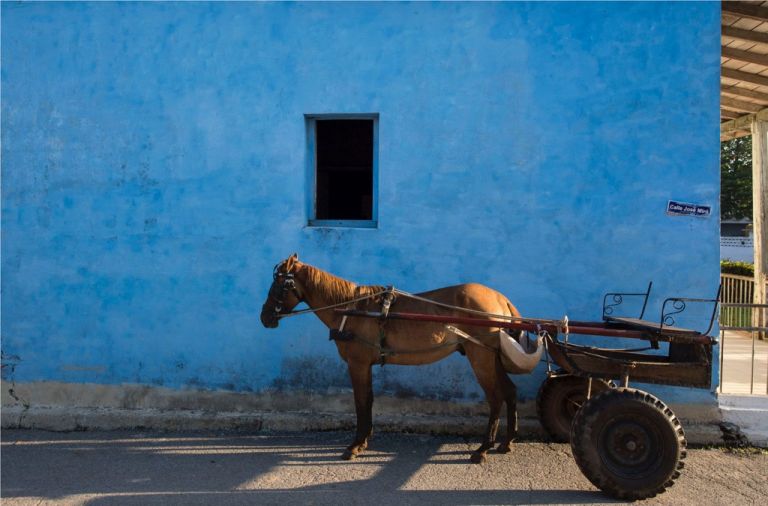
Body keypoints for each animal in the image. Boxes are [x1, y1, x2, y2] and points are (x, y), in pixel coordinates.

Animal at [260, 253, 520, 462]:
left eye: (280, 284)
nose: (265, 317)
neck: (351, 310)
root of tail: (500, 298)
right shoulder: (366, 365)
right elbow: (368, 400)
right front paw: (363, 442)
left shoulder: (357, 364)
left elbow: (361, 402)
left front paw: (354, 446)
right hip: (492, 357)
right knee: (509, 391)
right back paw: (506, 442)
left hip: (481, 356)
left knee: (495, 398)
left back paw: (483, 448)